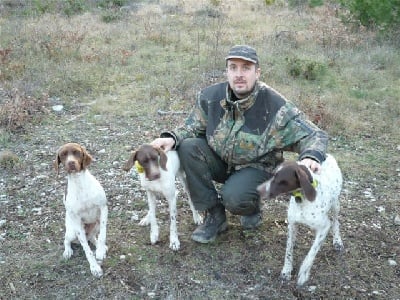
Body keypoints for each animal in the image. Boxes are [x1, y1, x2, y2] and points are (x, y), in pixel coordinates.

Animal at [54, 142, 108, 276]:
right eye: (63, 155)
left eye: (76, 152)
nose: (71, 163)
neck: (79, 183)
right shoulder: (77, 223)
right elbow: (87, 250)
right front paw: (94, 267)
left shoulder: (103, 208)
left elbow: (103, 234)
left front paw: (100, 251)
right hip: (73, 232)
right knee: (66, 240)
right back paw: (67, 251)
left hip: (96, 223)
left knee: (93, 237)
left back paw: (100, 247)